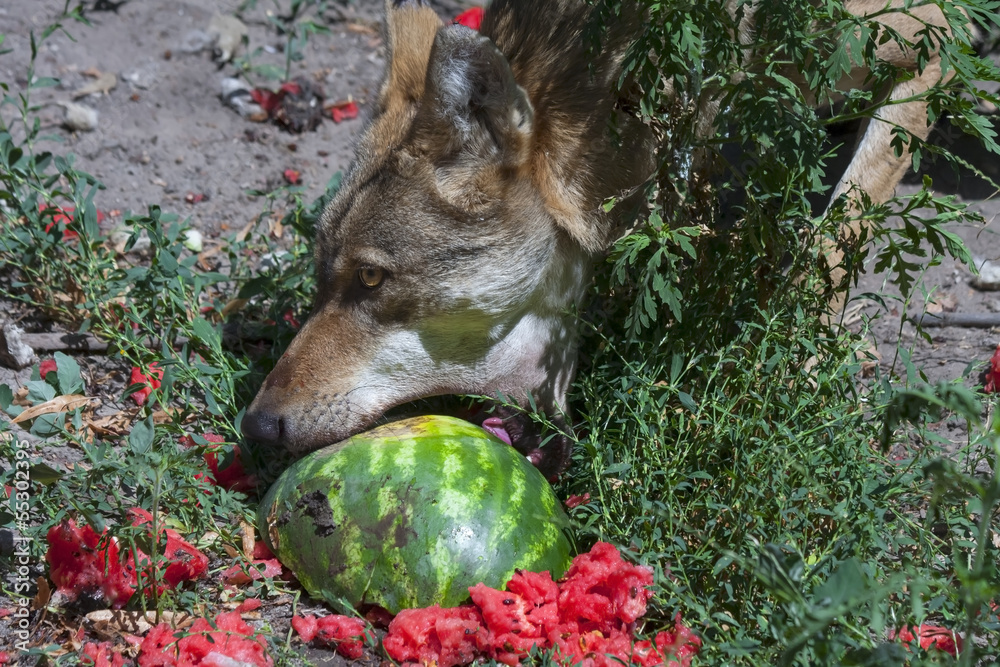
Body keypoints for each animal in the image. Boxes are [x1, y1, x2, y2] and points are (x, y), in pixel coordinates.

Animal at [242, 0, 958, 476]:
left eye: (371, 278)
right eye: (320, 278)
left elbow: (836, 236)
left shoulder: (933, 45)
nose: (254, 425)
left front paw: (794, 369)